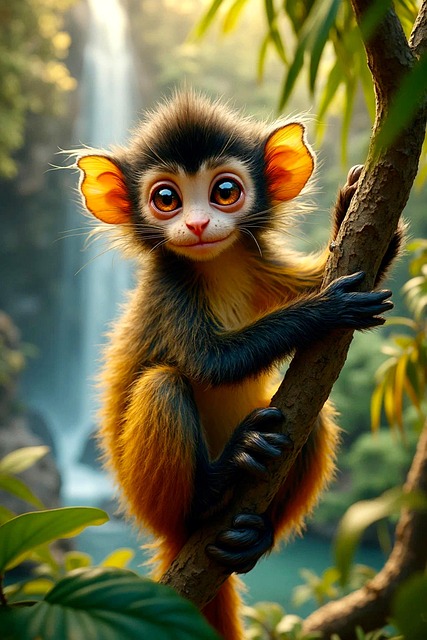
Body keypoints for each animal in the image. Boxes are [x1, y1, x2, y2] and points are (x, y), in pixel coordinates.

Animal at [76, 91, 400, 640]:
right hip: (152, 499)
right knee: (164, 384)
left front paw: (351, 211)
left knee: (312, 419)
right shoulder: (171, 287)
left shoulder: (257, 263)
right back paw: (217, 483)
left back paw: (255, 537)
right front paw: (327, 310)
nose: (197, 225)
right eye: (167, 199)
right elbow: (211, 364)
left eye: (225, 191)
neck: (217, 265)